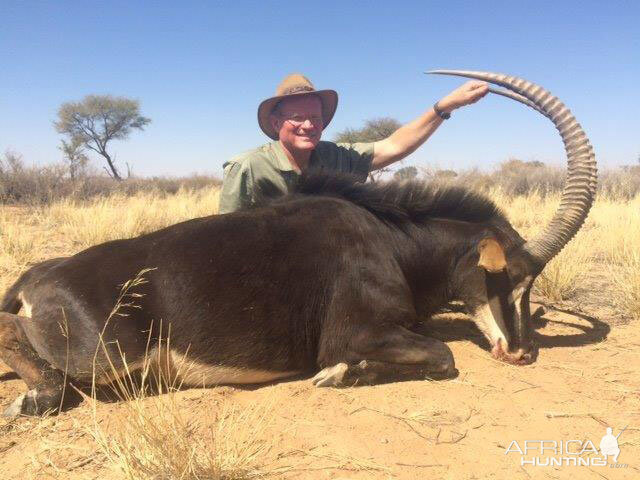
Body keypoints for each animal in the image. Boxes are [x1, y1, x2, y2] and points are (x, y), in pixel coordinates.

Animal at [2, 71, 596, 416]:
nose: (522, 351)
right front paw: (339, 374)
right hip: (106, 357)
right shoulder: (356, 333)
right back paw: (33, 398)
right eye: (511, 274)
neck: (392, 240)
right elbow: (442, 355)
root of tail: (36, 277)